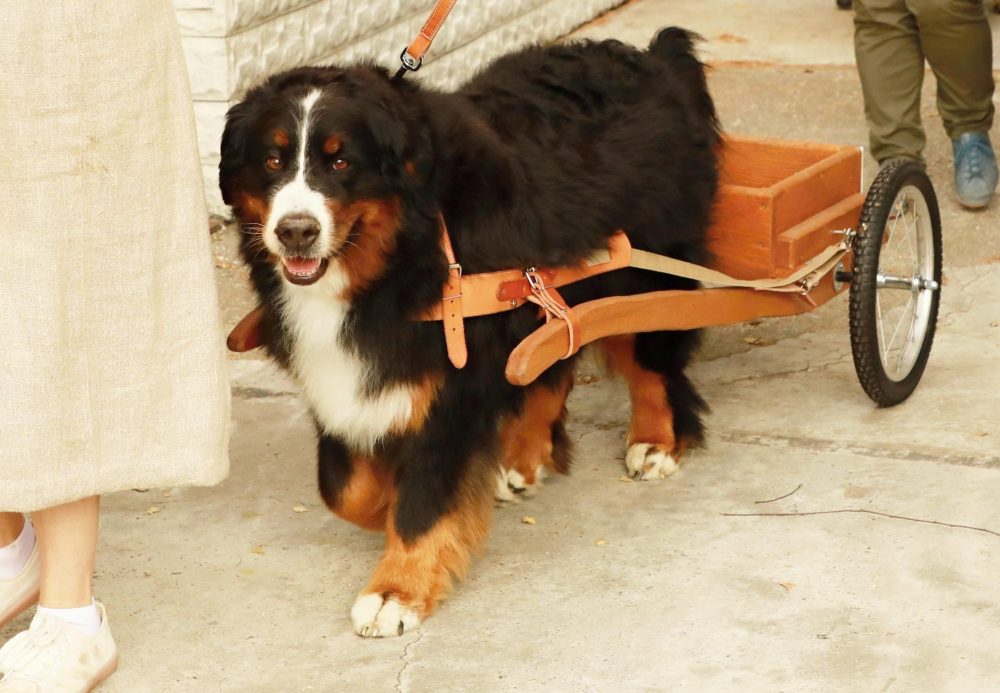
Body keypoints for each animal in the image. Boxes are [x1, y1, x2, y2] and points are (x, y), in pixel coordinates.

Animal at [219, 29, 720, 640]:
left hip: (642, 272)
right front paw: (387, 507)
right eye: (271, 159)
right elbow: (343, 488)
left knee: (652, 362)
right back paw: (523, 457)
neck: (399, 257)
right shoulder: (341, 373)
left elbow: (424, 496)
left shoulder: (452, 382)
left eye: (340, 160)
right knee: (550, 364)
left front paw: (396, 591)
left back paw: (656, 442)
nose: (296, 231)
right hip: (545, 288)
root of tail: (652, 57)